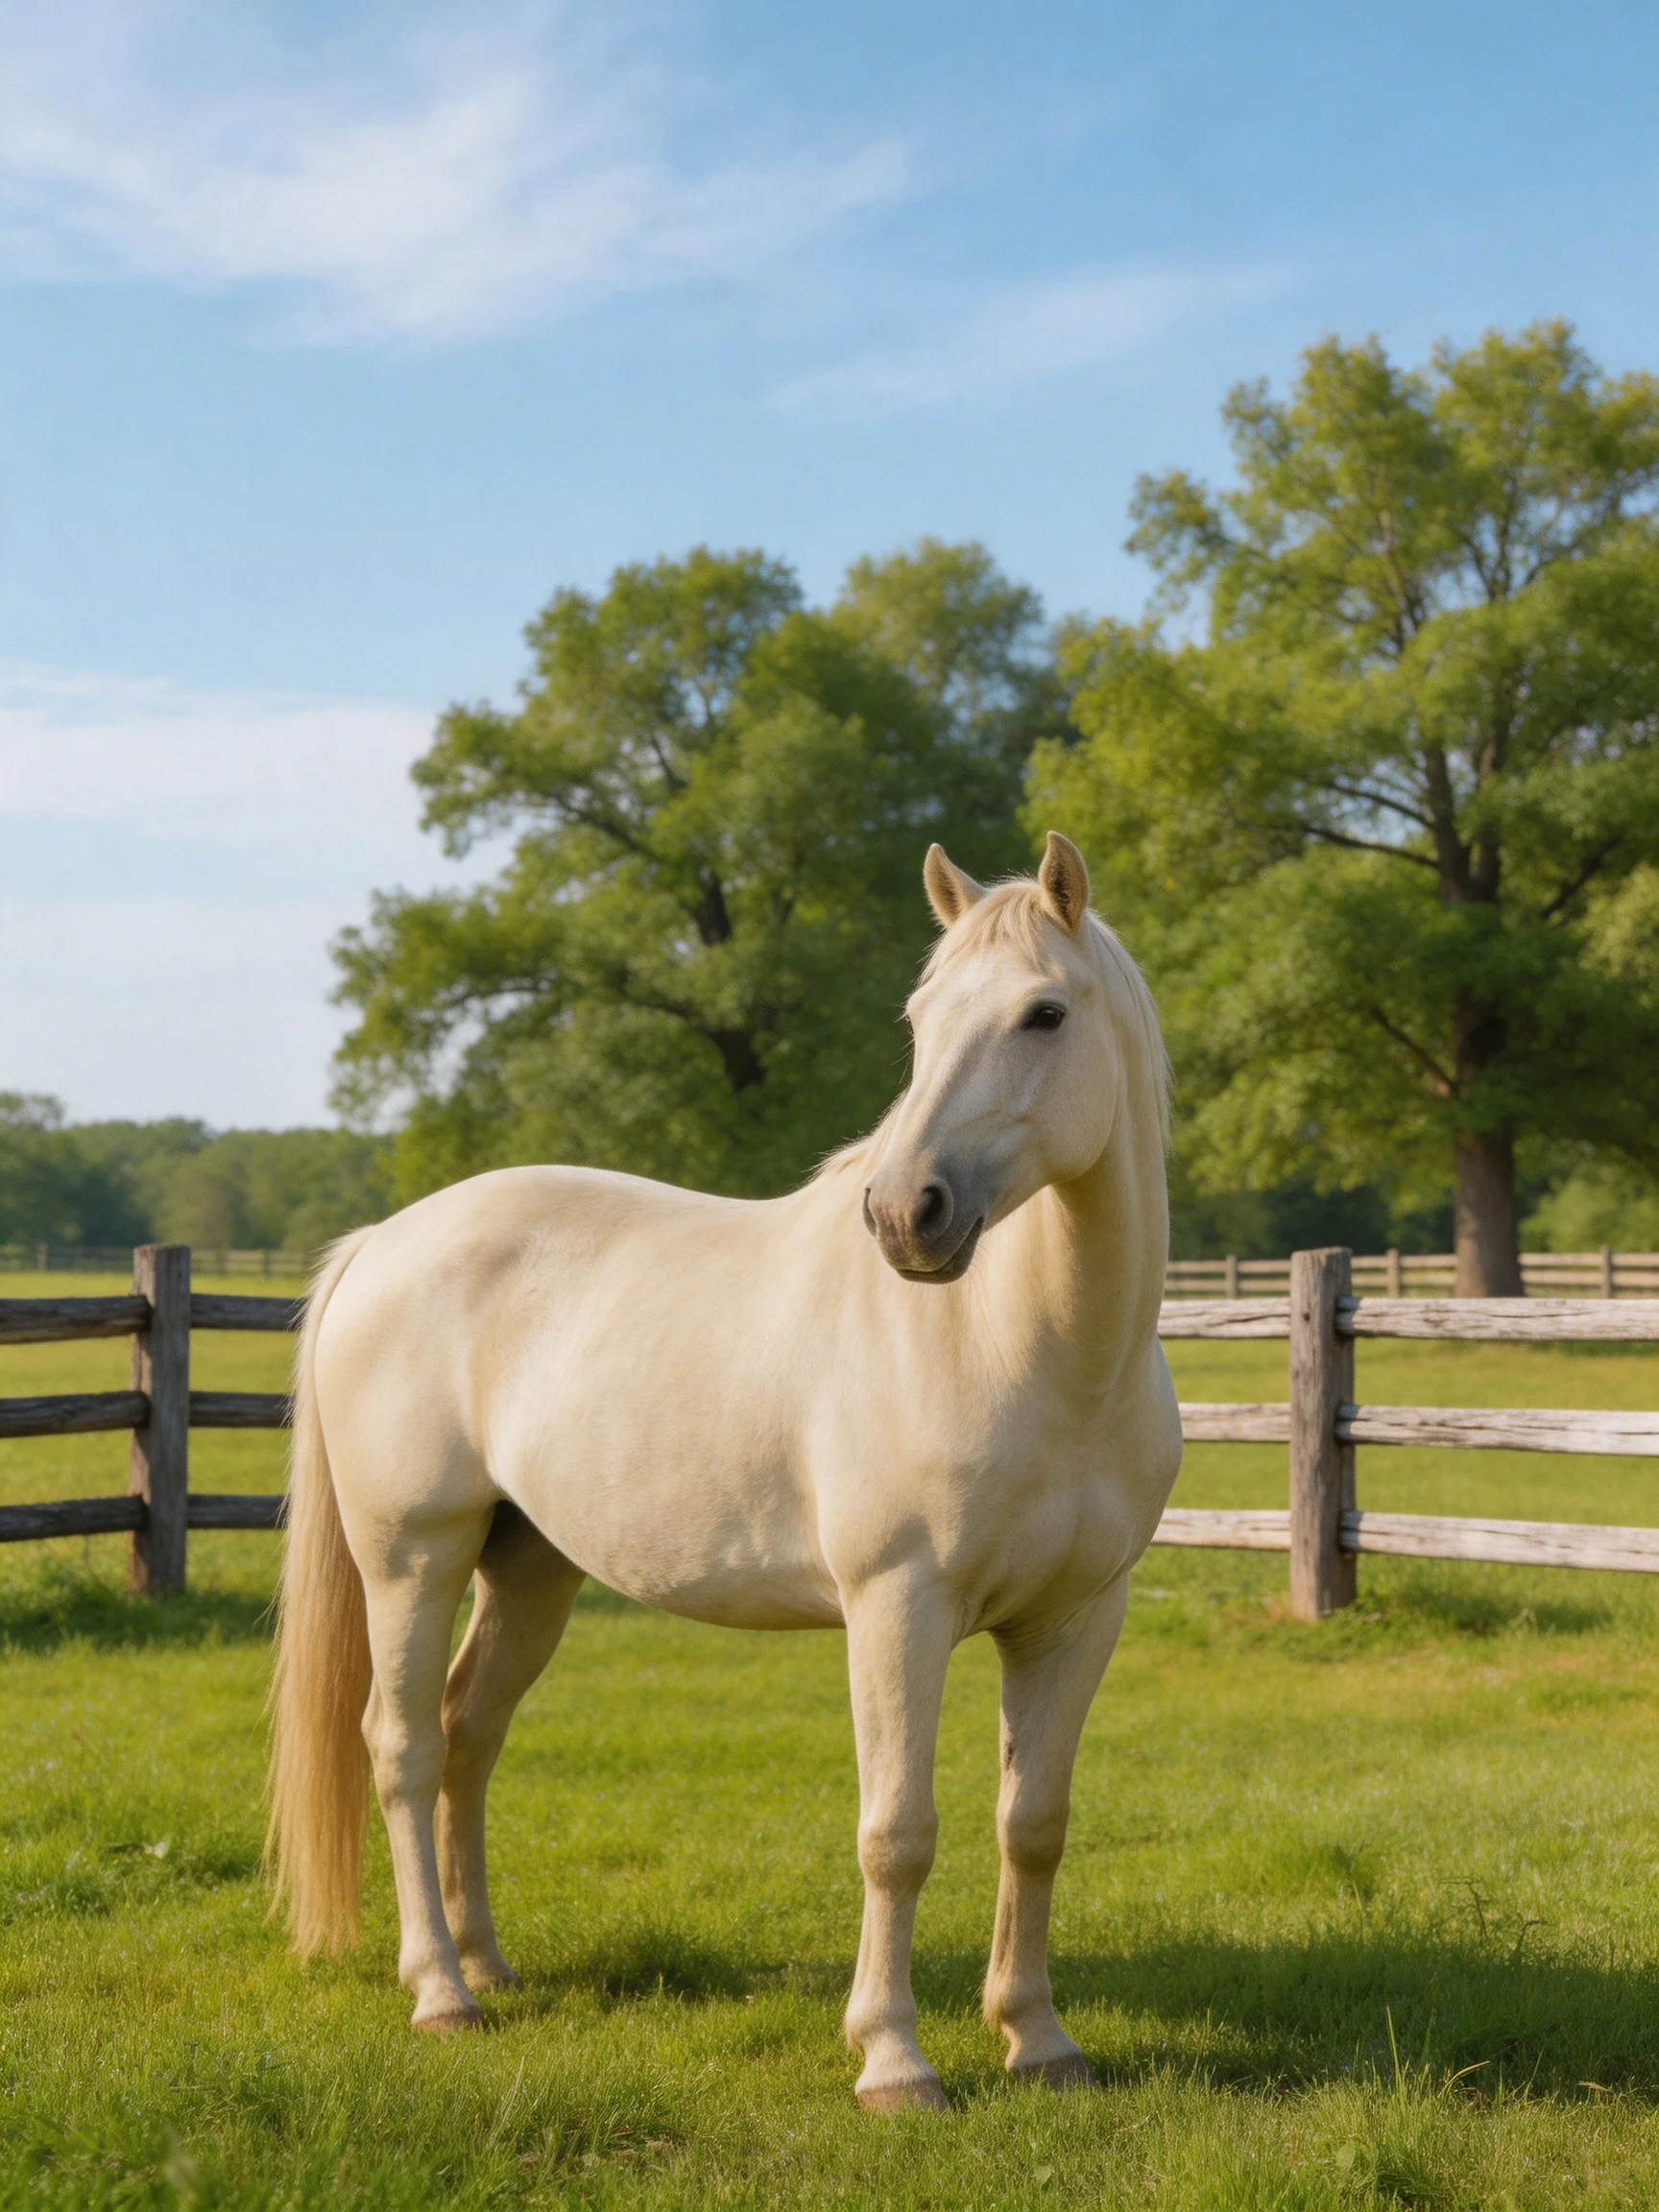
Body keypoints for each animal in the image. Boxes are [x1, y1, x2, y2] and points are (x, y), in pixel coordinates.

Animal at [267, 830, 1182, 2112]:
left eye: (1044, 1013)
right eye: (918, 1019)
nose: (904, 1216)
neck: (1028, 1351)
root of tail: (379, 1245)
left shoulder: (1075, 1619)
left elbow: (1033, 1824)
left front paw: (1039, 2041)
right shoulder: (896, 1609)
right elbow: (897, 1833)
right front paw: (893, 2059)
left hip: (528, 1570)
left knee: (467, 1734)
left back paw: (490, 1964)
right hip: (412, 1558)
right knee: (402, 1750)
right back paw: (441, 1993)